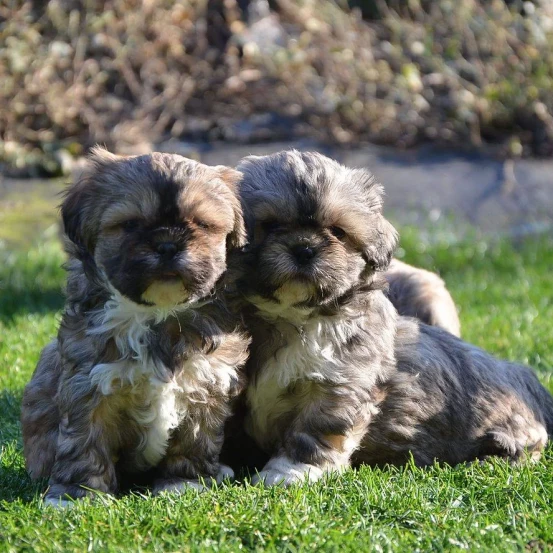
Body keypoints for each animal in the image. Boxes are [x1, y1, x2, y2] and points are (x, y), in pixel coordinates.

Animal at [21, 148, 250, 504]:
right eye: (130, 225)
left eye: (201, 224)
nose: (168, 245)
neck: (156, 316)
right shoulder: (87, 383)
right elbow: (83, 440)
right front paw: (76, 495)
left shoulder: (207, 378)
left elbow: (195, 438)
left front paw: (184, 482)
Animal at [234, 150, 552, 484]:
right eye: (270, 226)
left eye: (338, 232)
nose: (304, 248)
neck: (291, 315)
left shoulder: (339, 382)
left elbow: (314, 429)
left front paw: (289, 473)